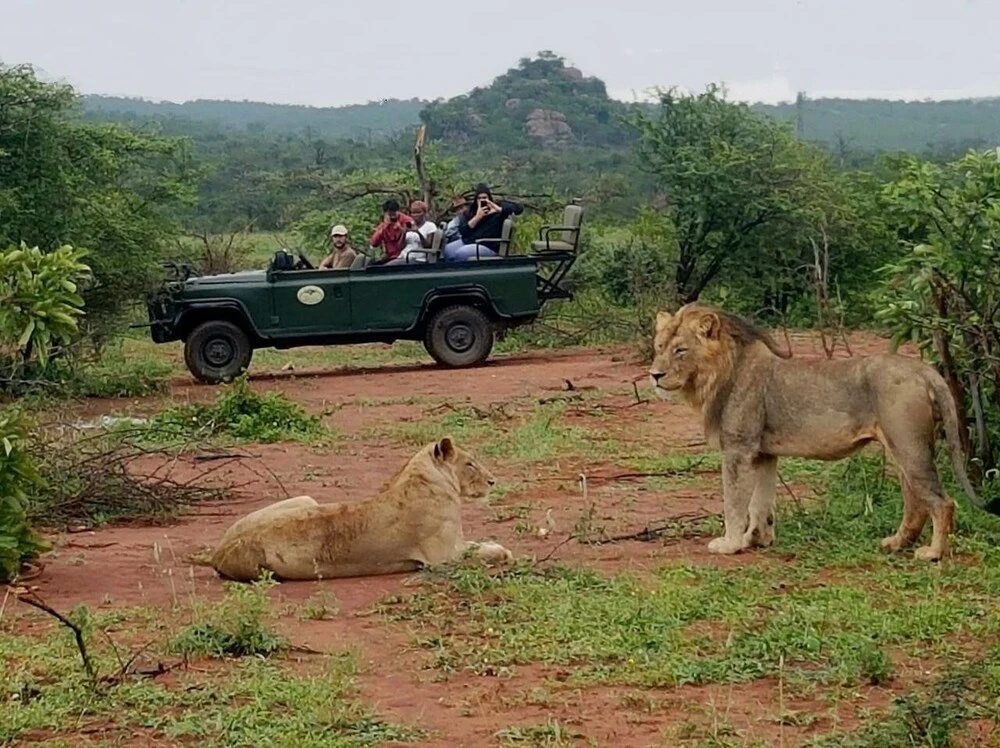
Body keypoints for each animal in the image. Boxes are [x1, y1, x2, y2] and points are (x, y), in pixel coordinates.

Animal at [188, 437, 513, 581]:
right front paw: (503, 551)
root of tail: (217, 552)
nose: (493, 481)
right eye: (470, 463)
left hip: (306, 499)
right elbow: (482, 552)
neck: (424, 478)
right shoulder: (442, 557)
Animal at [648, 302, 987, 561]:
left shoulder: (738, 449)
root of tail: (924, 370)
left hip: (909, 446)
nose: (654, 374)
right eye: (659, 348)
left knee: (942, 502)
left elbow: (734, 502)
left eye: (680, 350)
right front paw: (757, 539)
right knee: (916, 503)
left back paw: (933, 553)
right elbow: (760, 502)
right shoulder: (763, 453)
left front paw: (730, 544)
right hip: (902, 447)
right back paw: (895, 544)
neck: (718, 375)